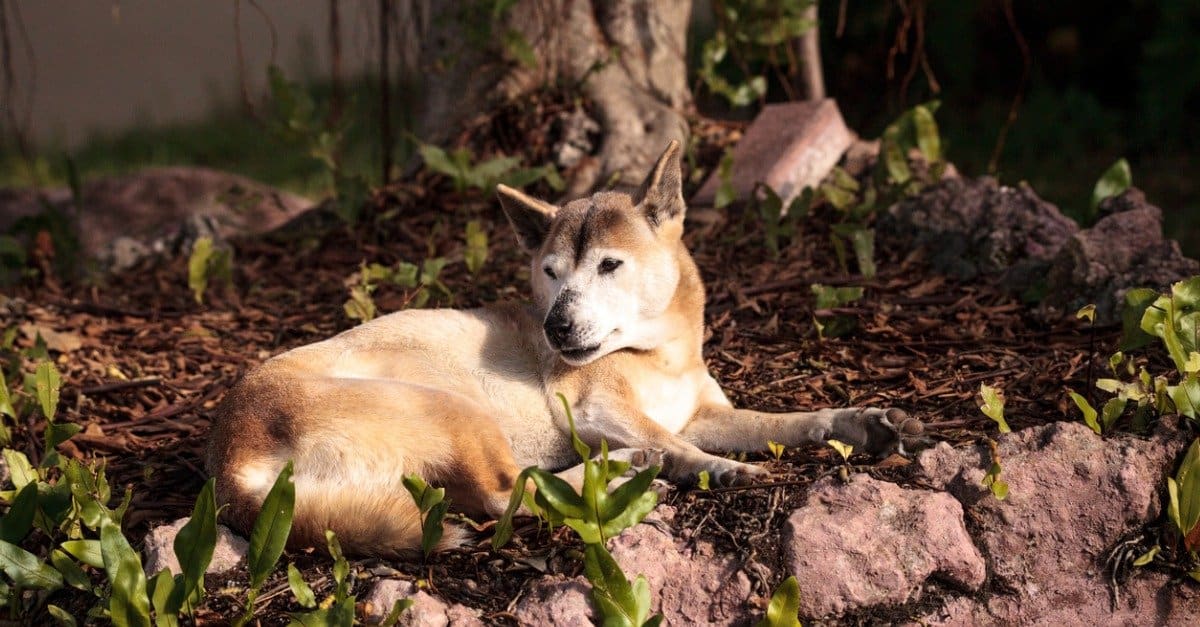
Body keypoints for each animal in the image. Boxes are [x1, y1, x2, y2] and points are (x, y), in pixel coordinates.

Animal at [208, 140, 916, 552]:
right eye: (550, 273)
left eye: (609, 265)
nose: (557, 327)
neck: (660, 355)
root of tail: (230, 464)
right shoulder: (598, 408)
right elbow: (674, 442)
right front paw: (718, 469)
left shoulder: (708, 413)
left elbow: (787, 423)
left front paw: (858, 421)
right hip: (454, 409)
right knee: (504, 495)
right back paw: (625, 467)